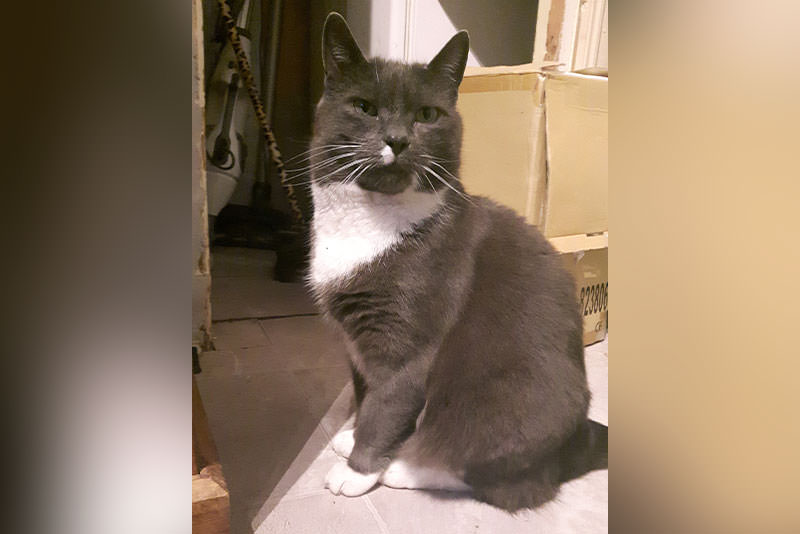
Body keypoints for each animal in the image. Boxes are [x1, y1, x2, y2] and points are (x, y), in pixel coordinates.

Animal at [306, 13, 608, 516]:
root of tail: (578, 440)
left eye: (426, 116)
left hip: (504, 403)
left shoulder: (407, 346)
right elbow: (366, 393)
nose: (397, 139)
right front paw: (352, 437)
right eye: (365, 107)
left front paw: (359, 470)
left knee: (503, 482)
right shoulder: (356, 341)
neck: (371, 220)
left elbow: (386, 405)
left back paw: (406, 469)